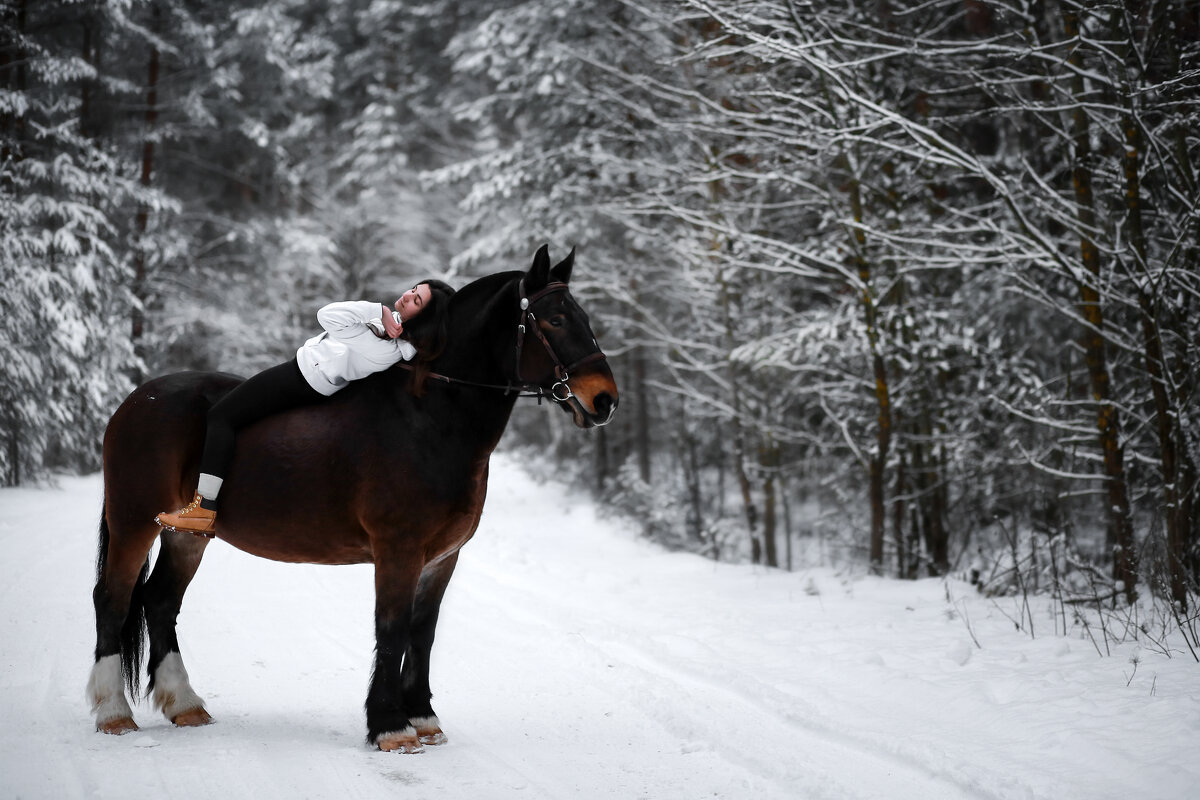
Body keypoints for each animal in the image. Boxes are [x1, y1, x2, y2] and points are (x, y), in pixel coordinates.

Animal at [87, 245, 619, 753]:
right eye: (555, 320)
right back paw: (114, 713)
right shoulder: (398, 551)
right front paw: (390, 726)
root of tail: (134, 401)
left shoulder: (442, 557)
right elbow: (392, 628)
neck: (429, 418)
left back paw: (185, 704)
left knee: (160, 601)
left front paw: (423, 717)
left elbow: (422, 632)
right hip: (135, 522)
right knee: (113, 599)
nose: (605, 400)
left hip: (186, 536)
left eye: (583, 316)